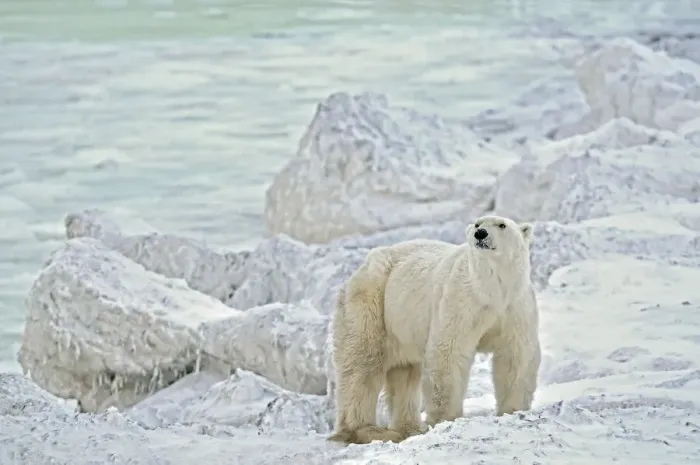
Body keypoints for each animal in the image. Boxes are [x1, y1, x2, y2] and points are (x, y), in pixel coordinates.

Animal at [328, 215, 541, 445]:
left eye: (502, 225)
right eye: (477, 223)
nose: (480, 233)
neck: (491, 290)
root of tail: (362, 268)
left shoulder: (515, 307)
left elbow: (516, 355)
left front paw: (513, 410)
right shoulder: (462, 300)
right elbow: (449, 351)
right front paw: (446, 419)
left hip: (402, 324)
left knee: (405, 372)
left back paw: (408, 429)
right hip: (372, 301)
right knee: (361, 362)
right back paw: (369, 430)